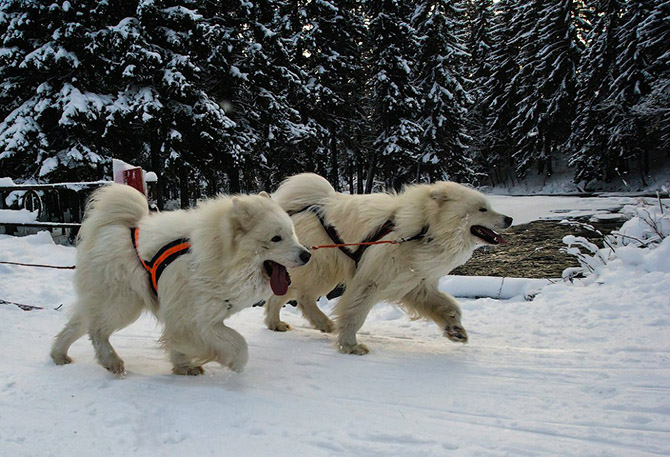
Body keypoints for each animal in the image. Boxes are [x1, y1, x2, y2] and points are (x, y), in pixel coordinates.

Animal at [51, 183, 312, 376]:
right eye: (276, 238)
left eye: (292, 233)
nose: (307, 255)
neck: (218, 256)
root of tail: (109, 227)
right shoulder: (192, 317)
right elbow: (238, 344)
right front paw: (232, 363)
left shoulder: (204, 315)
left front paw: (184, 366)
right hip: (122, 303)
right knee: (96, 331)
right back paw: (112, 361)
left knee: (76, 326)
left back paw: (59, 356)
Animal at [266, 173, 512, 354]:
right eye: (482, 208)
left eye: (488, 206)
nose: (509, 219)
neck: (426, 229)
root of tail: (300, 208)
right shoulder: (371, 280)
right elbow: (355, 314)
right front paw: (351, 346)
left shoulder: (415, 281)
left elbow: (447, 305)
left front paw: (455, 330)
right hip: (321, 269)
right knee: (294, 296)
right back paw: (292, 322)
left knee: (295, 296)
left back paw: (304, 324)